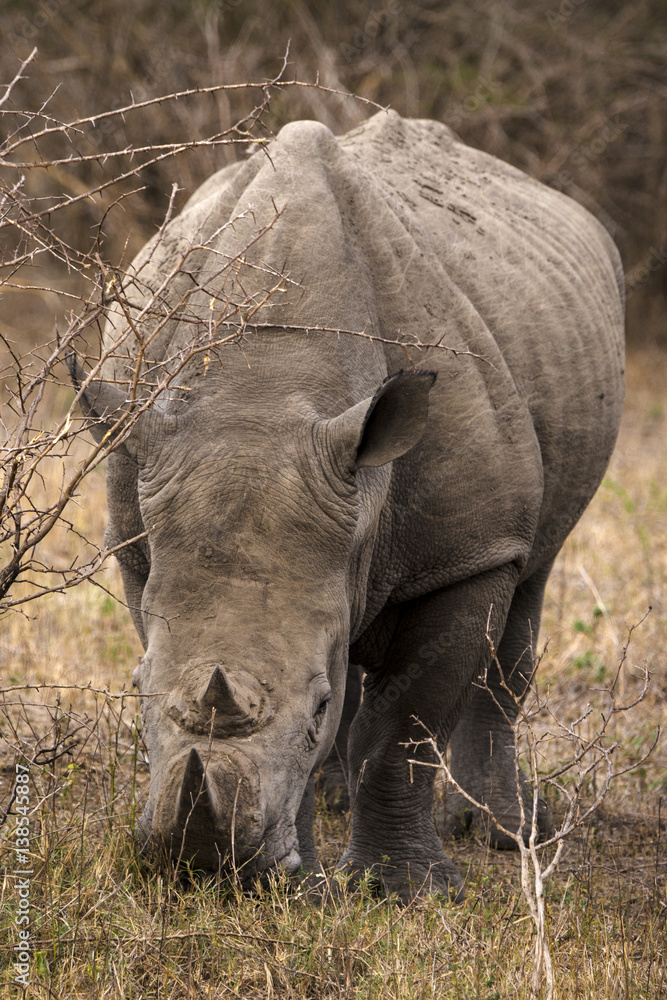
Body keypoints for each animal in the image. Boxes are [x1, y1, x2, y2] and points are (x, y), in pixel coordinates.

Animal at [70, 110, 624, 902]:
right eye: (135, 691)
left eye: (317, 707)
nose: (201, 868)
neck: (265, 389)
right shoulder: (143, 529)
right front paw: (297, 882)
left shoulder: (468, 552)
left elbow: (405, 725)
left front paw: (408, 892)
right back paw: (337, 801)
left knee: (528, 589)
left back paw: (508, 832)